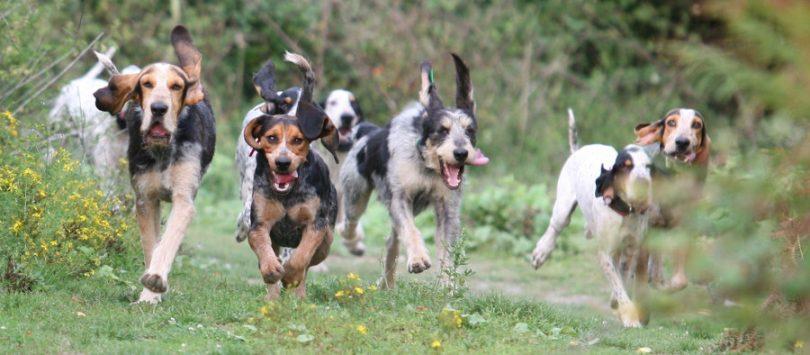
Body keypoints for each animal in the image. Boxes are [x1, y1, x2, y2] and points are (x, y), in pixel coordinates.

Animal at [92, 25, 213, 304]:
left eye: (176, 87)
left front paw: (156, 280)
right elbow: (151, 246)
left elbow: (166, 244)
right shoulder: (146, 200)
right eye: (146, 84)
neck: (162, 151)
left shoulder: (183, 201)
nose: (158, 108)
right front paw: (149, 295)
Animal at [336, 55, 486, 290]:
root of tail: (368, 133)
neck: (426, 167)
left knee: (392, 241)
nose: (461, 153)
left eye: (469, 130)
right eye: (442, 130)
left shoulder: (448, 208)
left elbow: (446, 247)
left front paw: (447, 284)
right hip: (355, 193)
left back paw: (386, 282)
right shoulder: (399, 198)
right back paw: (351, 241)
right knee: (349, 223)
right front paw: (417, 259)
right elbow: (410, 230)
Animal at [532, 140, 656, 330]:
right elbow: (618, 284)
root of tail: (579, 148)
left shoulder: (631, 250)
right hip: (562, 209)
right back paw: (541, 252)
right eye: (626, 166)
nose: (642, 182)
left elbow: (622, 279)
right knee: (555, 227)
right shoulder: (605, 253)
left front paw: (619, 305)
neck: (625, 211)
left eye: (648, 167)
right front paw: (630, 318)